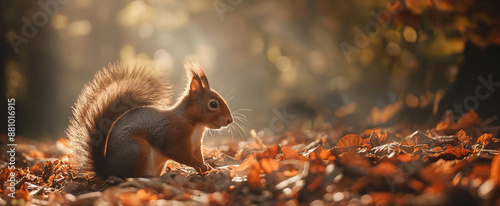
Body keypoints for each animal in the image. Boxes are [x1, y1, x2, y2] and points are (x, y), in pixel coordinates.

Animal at [65, 62, 234, 177]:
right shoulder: (173, 136)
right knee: (129, 176)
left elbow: (198, 155)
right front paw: (198, 165)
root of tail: (107, 169)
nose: (230, 120)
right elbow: (179, 153)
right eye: (213, 104)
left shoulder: (195, 145)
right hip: (137, 149)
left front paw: (207, 167)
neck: (195, 124)